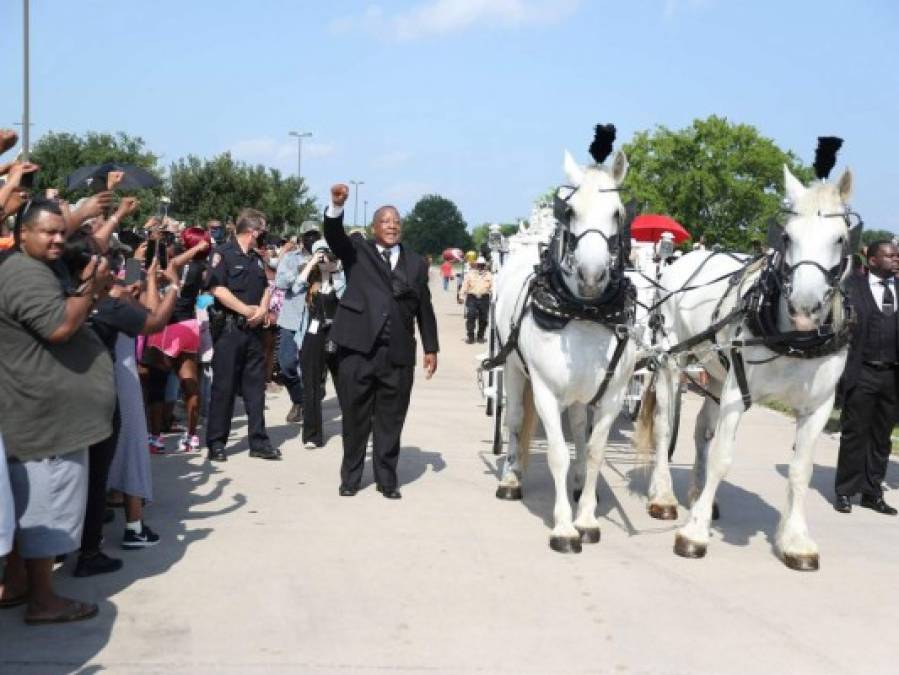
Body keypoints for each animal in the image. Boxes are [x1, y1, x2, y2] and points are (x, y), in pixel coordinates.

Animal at [492, 148, 632, 556]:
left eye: (617, 212)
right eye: (570, 211)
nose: (591, 276)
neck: (584, 312)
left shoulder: (612, 396)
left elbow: (595, 450)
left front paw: (585, 519)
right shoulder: (546, 392)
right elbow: (556, 453)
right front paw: (565, 528)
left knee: (580, 428)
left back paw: (580, 482)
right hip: (512, 366)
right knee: (514, 419)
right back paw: (511, 477)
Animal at [636, 164, 856, 572]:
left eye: (839, 238)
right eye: (787, 236)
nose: (804, 308)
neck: (793, 339)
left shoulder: (818, 406)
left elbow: (801, 470)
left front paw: (795, 540)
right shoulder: (738, 392)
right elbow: (722, 457)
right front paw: (694, 534)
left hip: (715, 372)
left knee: (701, 430)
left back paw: (697, 494)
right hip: (672, 360)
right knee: (664, 427)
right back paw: (663, 497)